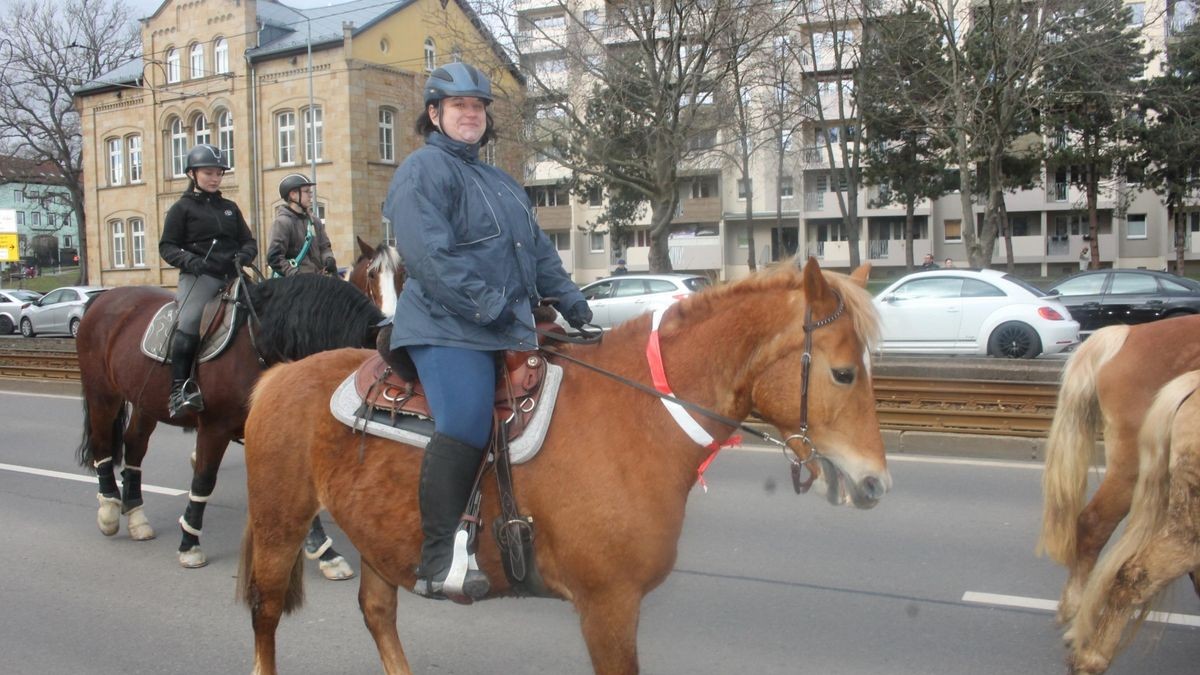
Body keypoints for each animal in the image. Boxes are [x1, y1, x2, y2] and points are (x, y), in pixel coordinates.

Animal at [77, 269, 384, 566]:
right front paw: (189, 544)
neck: (258, 343)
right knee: (103, 446)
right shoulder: (214, 428)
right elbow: (203, 481)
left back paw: (137, 517)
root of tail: (103, 298)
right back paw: (109, 511)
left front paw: (324, 552)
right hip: (102, 394)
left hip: (144, 402)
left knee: (134, 446)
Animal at [236, 258, 892, 672]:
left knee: (377, 615)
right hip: (279, 522)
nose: (875, 482)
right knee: (265, 613)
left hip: (375, 536)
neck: (637, 414)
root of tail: (277, 375)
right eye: (843, 372)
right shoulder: (608, 607)